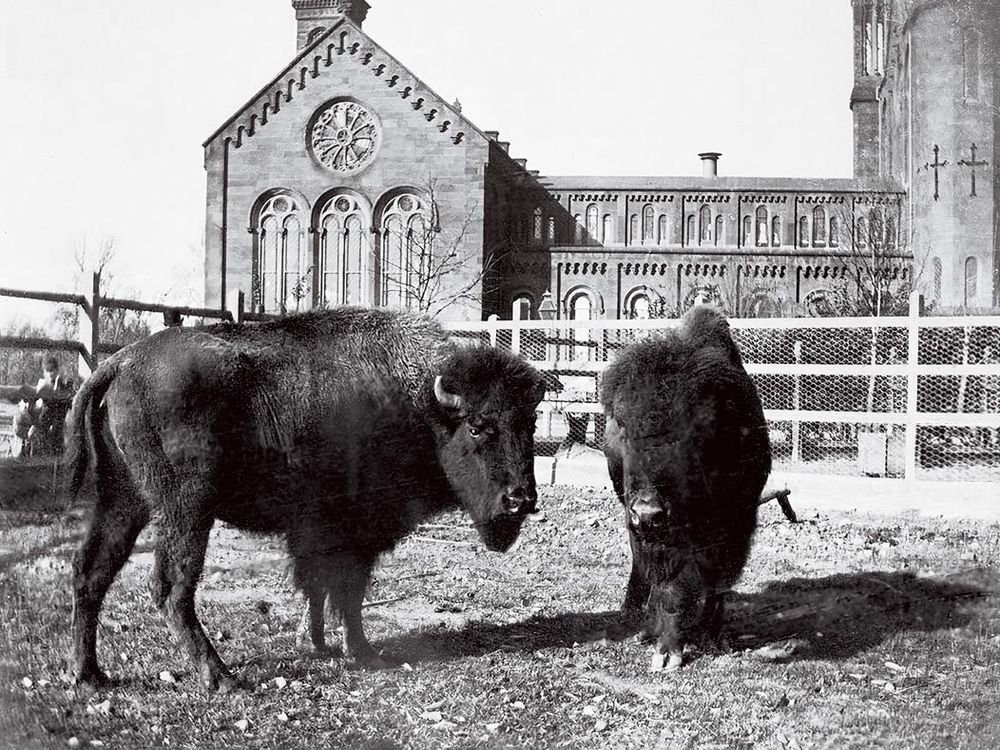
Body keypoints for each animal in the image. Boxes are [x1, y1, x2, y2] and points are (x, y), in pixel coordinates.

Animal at [68, 308, 548, 692]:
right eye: (478, 427)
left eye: (530, 424)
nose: (520, 499)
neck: (421, 405)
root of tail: (119, 362)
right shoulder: (355, 531)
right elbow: (347, 591)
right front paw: (362, 651)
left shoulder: (314, 531)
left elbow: (316, 585)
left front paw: (314, 644)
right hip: (186, 510)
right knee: (172, 586)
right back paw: (221, 677)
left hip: (123, 501)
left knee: (92, 570)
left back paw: (91, 675)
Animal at [596, 308, 768, 672]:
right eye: (623, 428)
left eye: (698, 430)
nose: (648, 512)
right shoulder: (653, 534)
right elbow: (667, 584)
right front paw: (666, 649)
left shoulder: (735, 527)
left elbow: (715, 581)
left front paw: (709, 637)